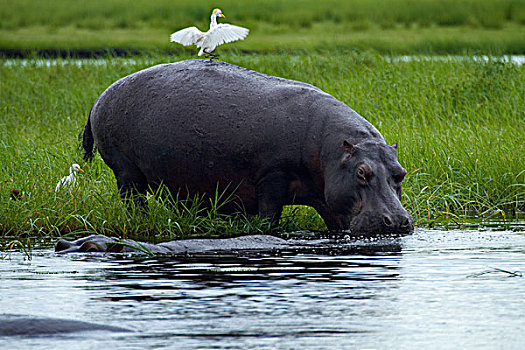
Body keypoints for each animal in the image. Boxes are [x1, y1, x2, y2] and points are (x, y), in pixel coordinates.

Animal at [82, 59, 412, 235]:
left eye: (401, 173)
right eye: (361, 172)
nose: (397, 220)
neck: (331, 152)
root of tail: (100, 97)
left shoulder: (329, 197)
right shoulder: (272, 176)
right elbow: (269, 215)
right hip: (125, 171)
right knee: (133, 199)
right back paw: (140, 220)